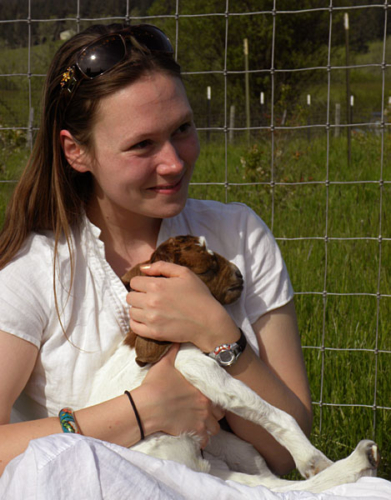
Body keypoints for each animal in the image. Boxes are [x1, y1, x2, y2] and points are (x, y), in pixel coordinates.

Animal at [89, 234, 380, 492]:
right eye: (207, 268)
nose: (240, 274)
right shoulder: (194, 364)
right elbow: (266, 408)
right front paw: (310, 456)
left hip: (228, 446)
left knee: (267, 482)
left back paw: (360, 461)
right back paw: (353, 462)